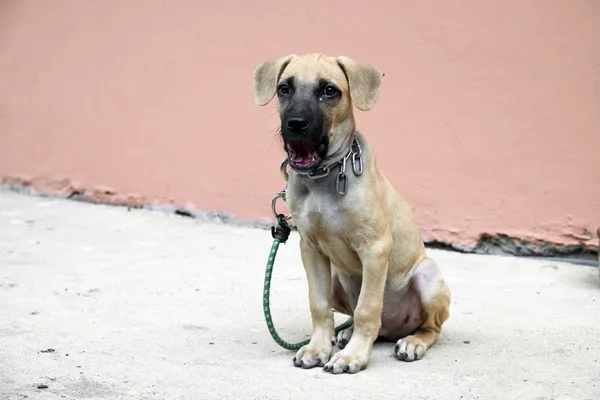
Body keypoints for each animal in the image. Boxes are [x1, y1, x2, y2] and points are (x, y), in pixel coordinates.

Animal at [253, 51, 450, 374]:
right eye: (284, 88)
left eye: (329, 90)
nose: (295, 124)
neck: (325, 176)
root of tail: (394, 329)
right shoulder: (310, 249)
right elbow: (318, 305)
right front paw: (318, 348)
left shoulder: (375, 248)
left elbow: (367, 308)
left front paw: (353, 356)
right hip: (336, 277)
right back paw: (344, 334)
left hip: (428, 276)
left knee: (430, 327)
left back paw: (412, 342)